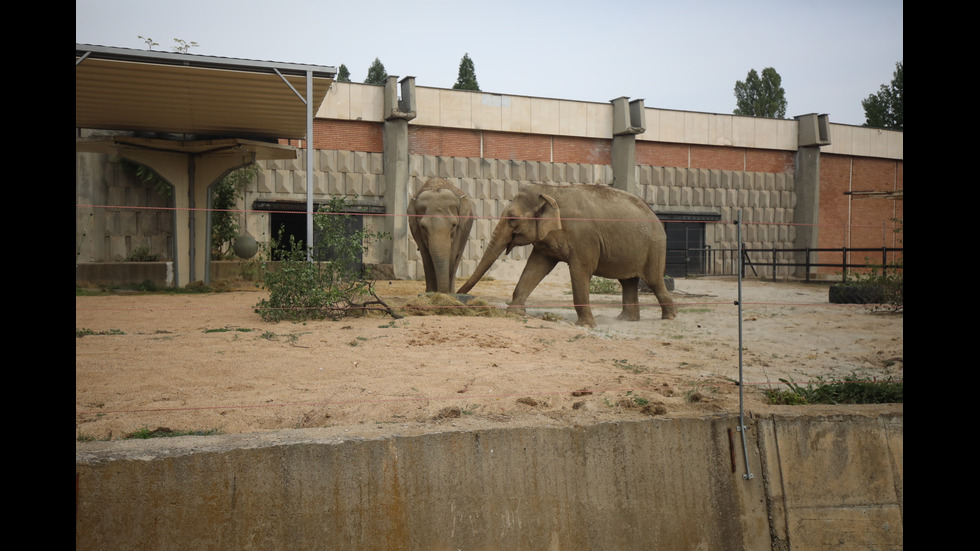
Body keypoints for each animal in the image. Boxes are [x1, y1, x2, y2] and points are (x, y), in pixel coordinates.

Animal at [458, 183, 672, 328]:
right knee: (628, 282)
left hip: (655, 248)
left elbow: (580, 270)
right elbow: (535, 268)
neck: (551, 190)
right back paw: (626, 319)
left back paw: (669, 316)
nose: (459, 297)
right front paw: (516, 313)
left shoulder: (583, 236)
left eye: (512, 219)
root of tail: (655, 215)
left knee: (654, 281)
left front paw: (585, 325)